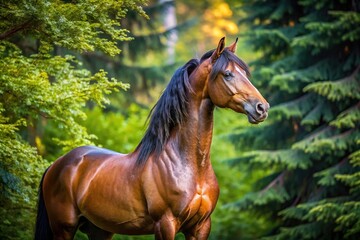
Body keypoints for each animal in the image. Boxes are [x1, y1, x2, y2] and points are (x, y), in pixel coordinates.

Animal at [35, 36, 268, 239]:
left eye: (245, 73)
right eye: (227, 74)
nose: (262, 108)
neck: (190, 166)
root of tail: (56, 164)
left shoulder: (201, 227)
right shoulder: (166, 224)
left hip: (100, 230)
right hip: (64, 228)